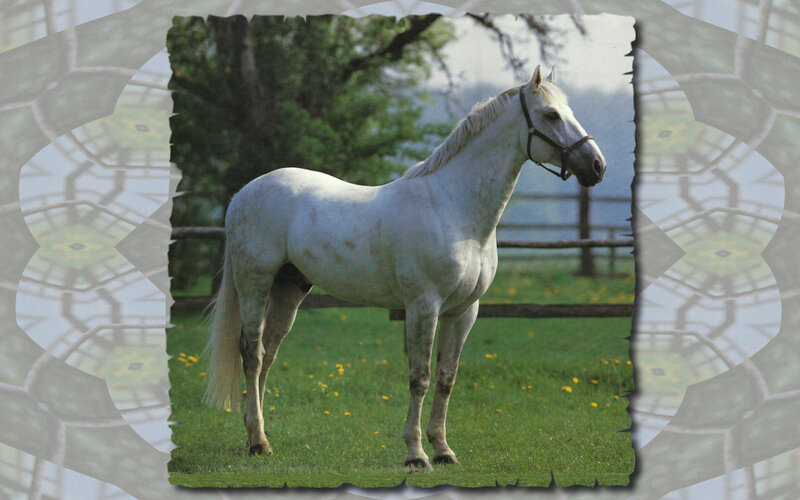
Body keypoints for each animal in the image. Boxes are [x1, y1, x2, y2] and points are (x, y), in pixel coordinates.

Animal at [203, 65, 606, 469]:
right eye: (551, 115)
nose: (597, 166)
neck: (454, 209)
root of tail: (243, 194)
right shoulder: (423, 306)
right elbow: (420, 377)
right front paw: (416, 453)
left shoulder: (463, 311)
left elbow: (446, 378)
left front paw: (443, 449)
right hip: (254, 285)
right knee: (251, 354)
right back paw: (257, 442)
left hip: (290, 288)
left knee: (269, 354)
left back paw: (260, 437)